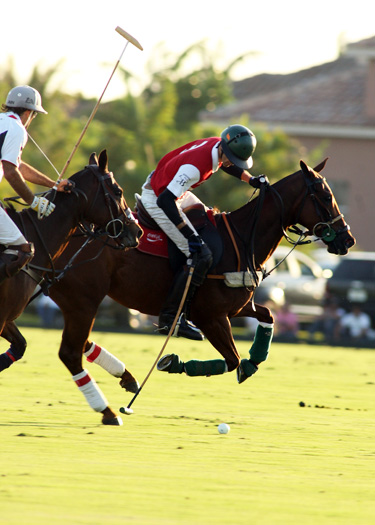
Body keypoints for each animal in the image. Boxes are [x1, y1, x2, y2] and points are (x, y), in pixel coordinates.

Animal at [42, 158, 354, 424]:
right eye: (325, 195)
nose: (348, 239)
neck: (243, 239)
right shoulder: (211, 317)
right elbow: (232, 360)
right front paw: (171, 361)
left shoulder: (237, 306)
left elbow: (267, 317)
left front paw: (254, 360)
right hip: (85, 299)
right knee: (72, 349)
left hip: (74, 300)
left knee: (80, 344)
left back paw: (126, 379)